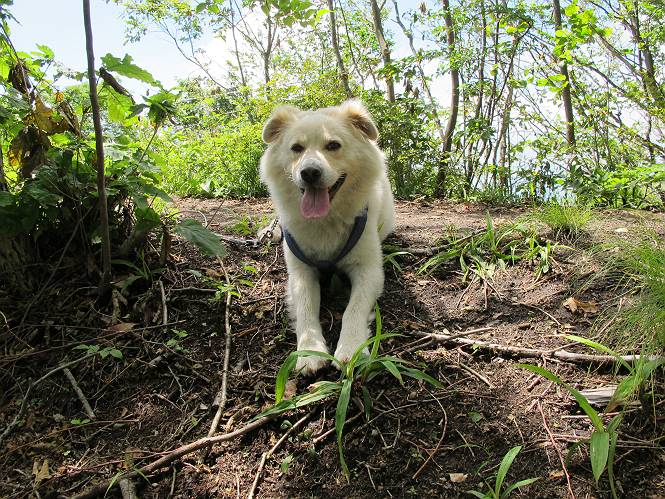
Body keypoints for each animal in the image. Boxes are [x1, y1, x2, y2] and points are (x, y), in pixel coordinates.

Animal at [260, 100, 395, 374]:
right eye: (296, 148)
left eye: (333, 145)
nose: (309, 172)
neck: (325, 220)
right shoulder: (300, 272)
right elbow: (305, 307)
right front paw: (310, 351)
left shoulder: (369, 270)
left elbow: (353, 308)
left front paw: (351, 349)